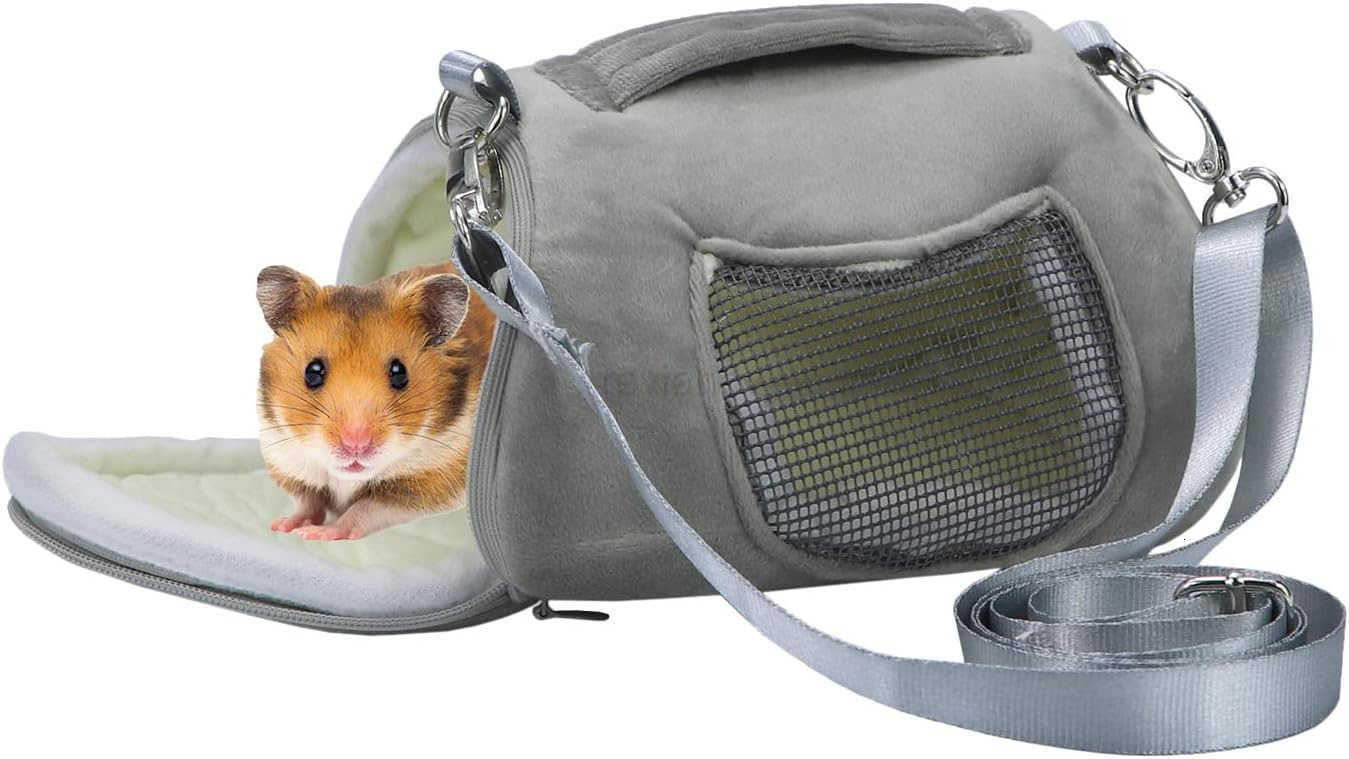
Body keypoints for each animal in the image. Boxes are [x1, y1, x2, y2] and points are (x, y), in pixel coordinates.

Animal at [254, 262, 495, 540]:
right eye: (313, 372)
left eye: (399, 372)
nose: (356, 445)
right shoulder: (290, 463)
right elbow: (308, 502)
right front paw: (283, 525)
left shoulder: (427, 484)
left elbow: (365, 508)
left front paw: (318, 533)